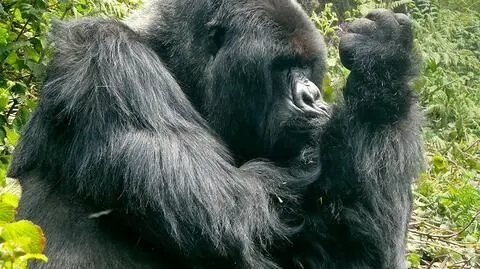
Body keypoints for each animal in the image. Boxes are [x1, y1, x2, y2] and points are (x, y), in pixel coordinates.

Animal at [6, 0, 420, 266]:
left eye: (306, 66)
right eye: (282, 65)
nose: (313, 96)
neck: (171, 56)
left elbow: (348, 252)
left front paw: (381, 76)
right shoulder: (108, 59)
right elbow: (226, 212)